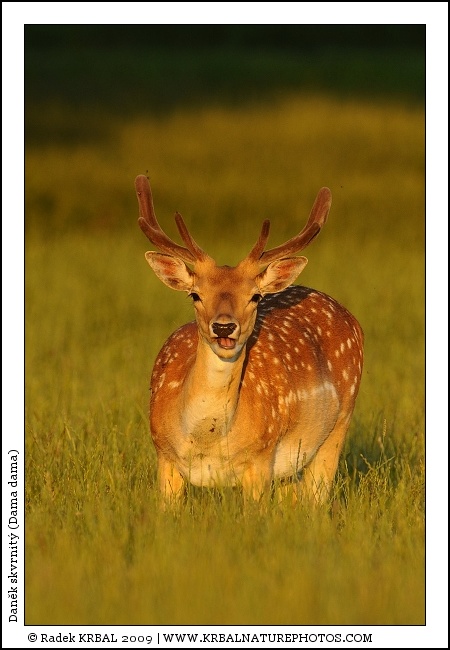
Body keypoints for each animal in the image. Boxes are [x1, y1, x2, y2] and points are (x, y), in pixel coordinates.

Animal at [135, 174, 363, 507]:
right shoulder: (163, 453)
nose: (224, 327)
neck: (207, 439)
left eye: (255, 296)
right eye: (195, 294)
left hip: (337, 427)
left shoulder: (260, 457)